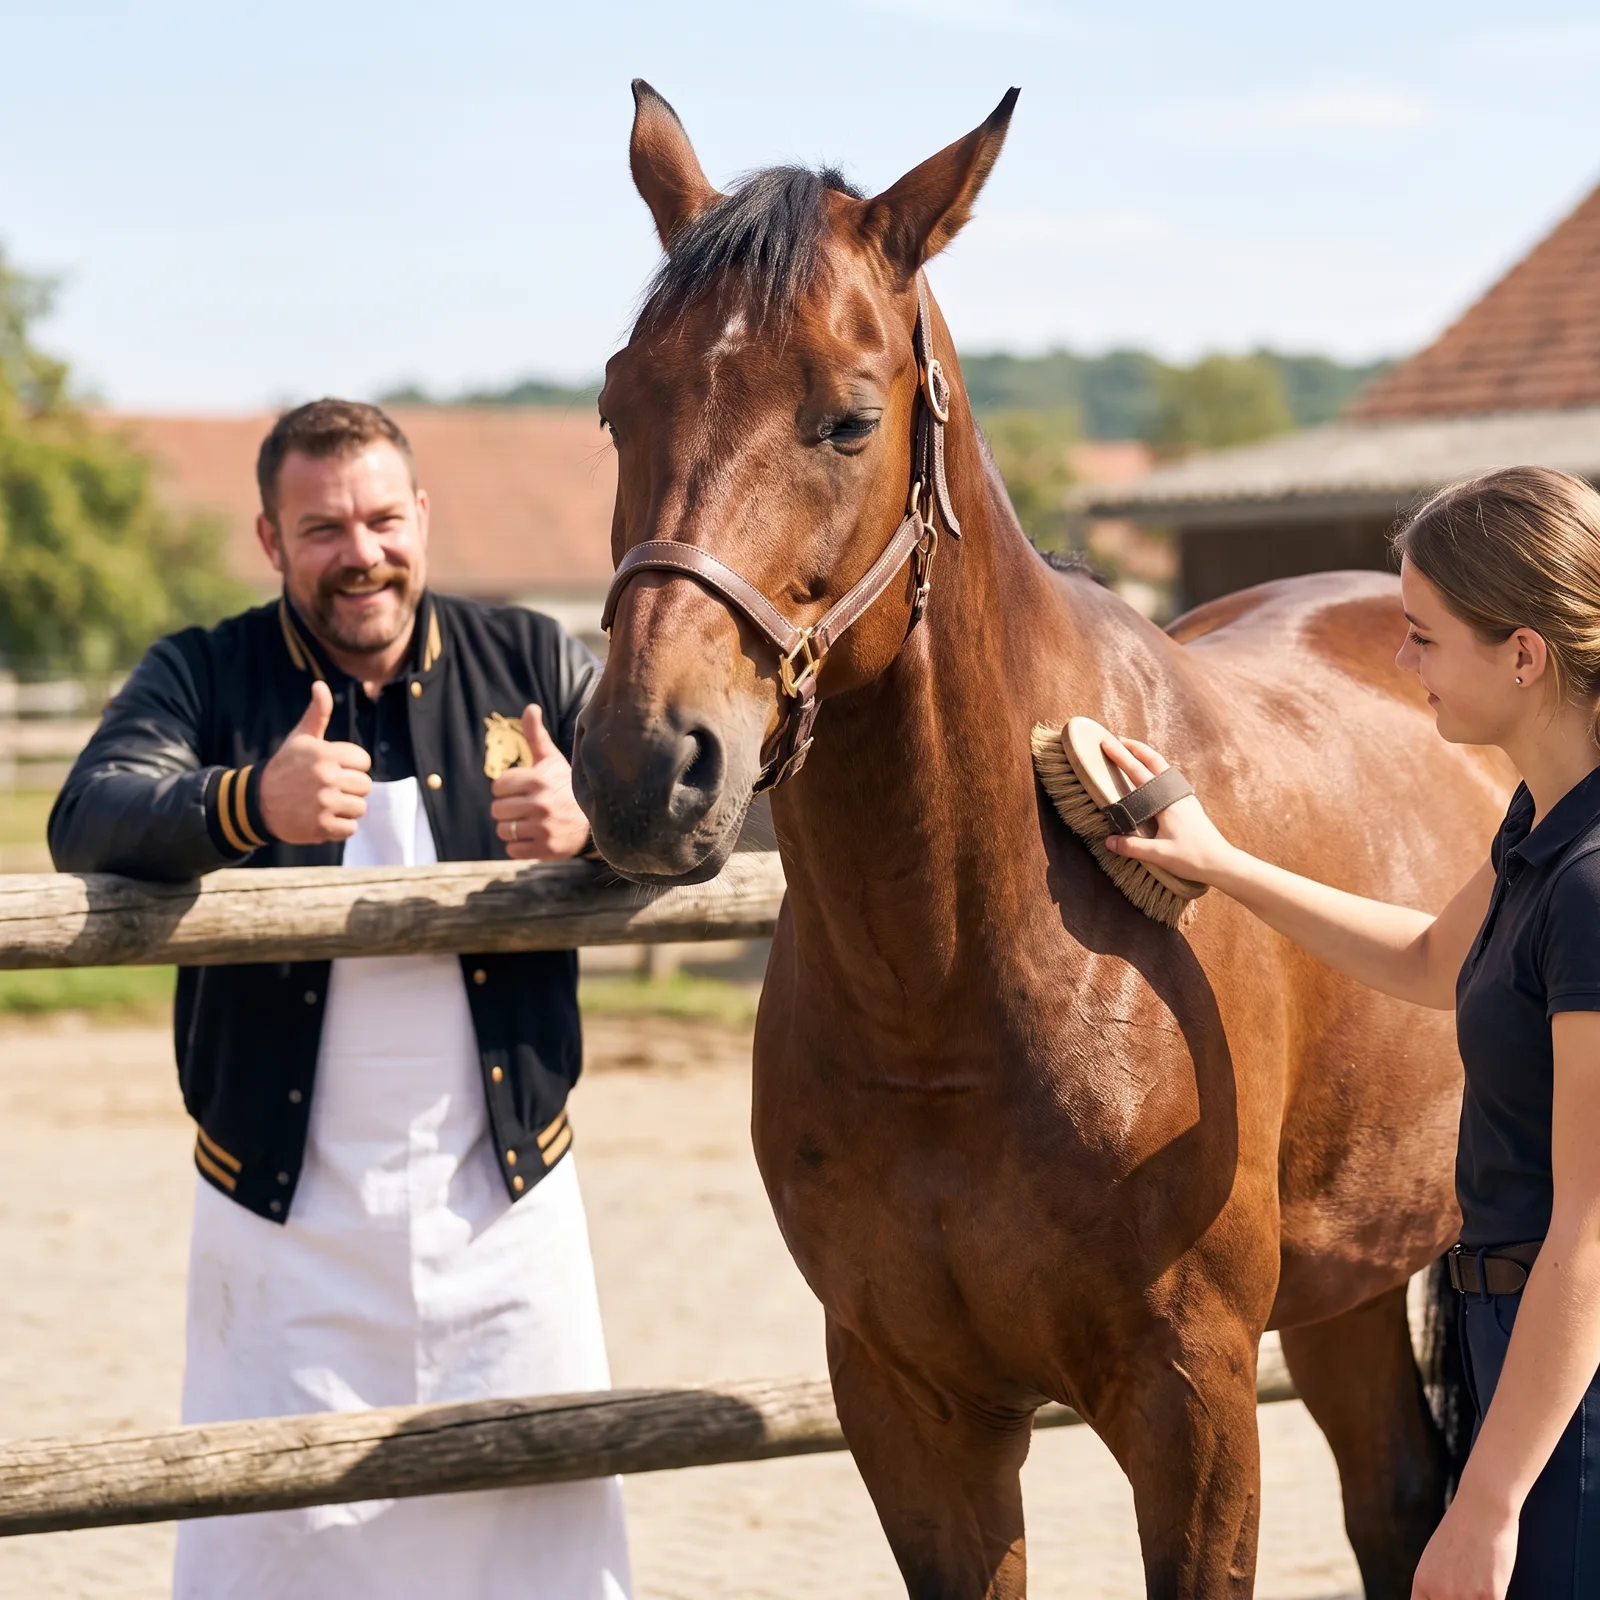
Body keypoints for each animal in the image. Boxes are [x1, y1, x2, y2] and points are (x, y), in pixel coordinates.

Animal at [572, 81, 1508, 1598]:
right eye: (614, 402)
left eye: (848, 420)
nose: (645, 765)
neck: (957, 979)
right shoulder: (912, 1409)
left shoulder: (1193, 1406)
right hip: (1350, 1283)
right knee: (1398, 1502)